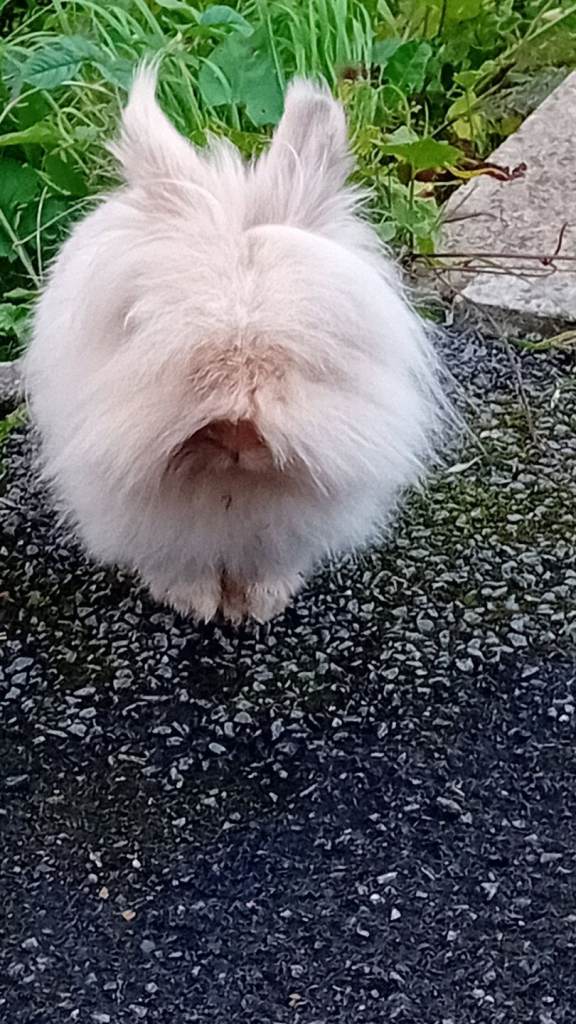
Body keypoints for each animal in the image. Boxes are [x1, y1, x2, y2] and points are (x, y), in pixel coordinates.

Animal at [23, 66, 446, 623]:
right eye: (147, 330)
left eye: (305, 350)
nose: (236, 433)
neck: (229, 483)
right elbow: (179, 561)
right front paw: (193, 604)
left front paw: (259, 605)